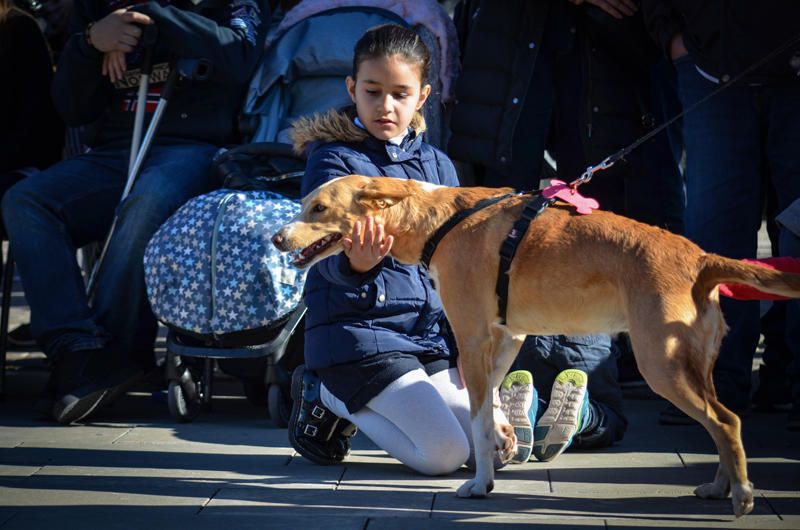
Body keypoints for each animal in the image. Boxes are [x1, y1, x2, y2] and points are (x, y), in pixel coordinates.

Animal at [270, 175, 800, 512]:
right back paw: (719, 487)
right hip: (693, 367)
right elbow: (486, 411)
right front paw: (498, 455)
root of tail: (701, 258)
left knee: (726, 423)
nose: (277, 238)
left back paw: (742, 497)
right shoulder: (507, 337)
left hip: (661, 366)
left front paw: (479, 484)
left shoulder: (472, 338)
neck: (441, 220)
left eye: (319, 208)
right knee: (723, 424)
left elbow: (478, 420)